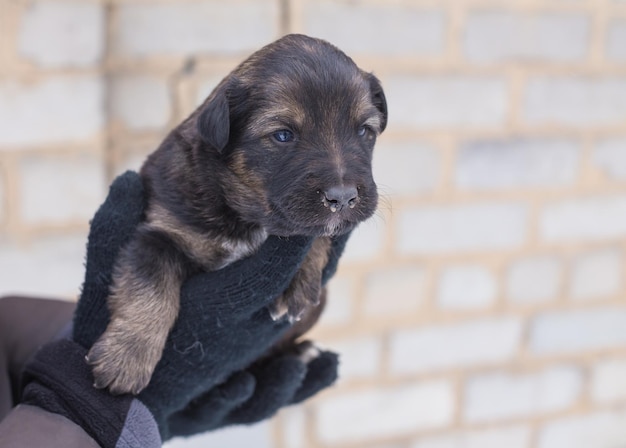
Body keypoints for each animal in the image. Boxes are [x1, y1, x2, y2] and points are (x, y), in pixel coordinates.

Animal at [86, 36, 388, 398]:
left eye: (364, 131)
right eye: (283, 135)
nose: (342, 198)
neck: (247, 216)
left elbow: (311, 231)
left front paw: (300, 283)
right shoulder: (159, 231)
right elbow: (150, 285)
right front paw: (126, 359)